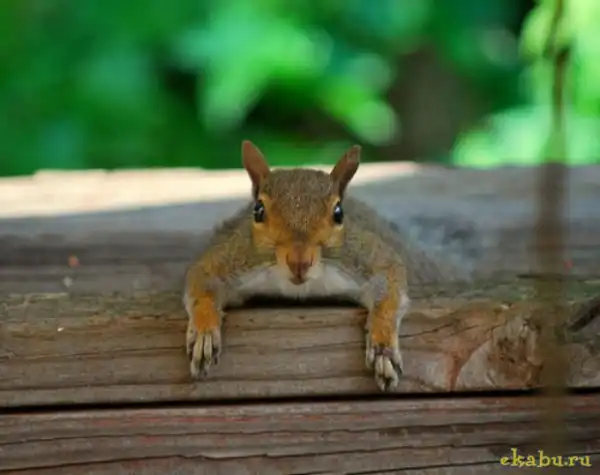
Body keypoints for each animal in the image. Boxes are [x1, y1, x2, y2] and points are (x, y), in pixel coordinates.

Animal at [183, 140, 468, 391]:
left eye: (338, 213)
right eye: (258, 211)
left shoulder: (365, 259)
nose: (299, 262)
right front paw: (205, 332)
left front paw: (383, 344)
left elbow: (389, 283)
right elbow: (202, 280)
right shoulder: (236, 258)